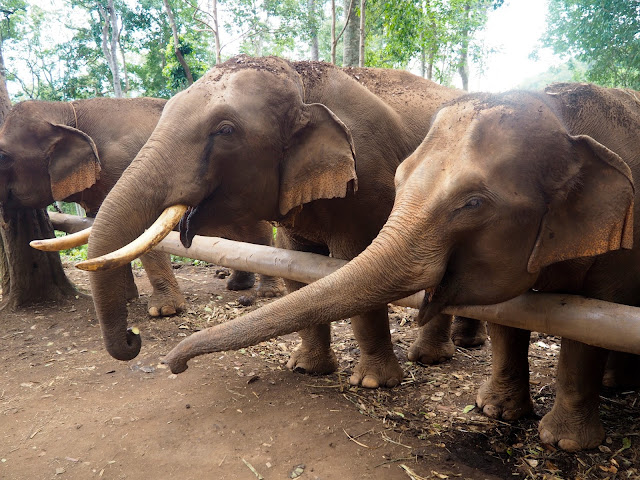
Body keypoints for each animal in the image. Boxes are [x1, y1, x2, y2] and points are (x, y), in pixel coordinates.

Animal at [0, 97, 282, 316]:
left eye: (2, 156)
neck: (68, 110)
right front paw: (125, 298)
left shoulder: (124, 161)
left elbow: (140, 232)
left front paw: (164, 311)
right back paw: (237, 285)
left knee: (257, 232)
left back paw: (268, 292)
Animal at [75, 54, 480, 384]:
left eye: (225, 130)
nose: (135, 338)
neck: (300, 78)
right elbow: (295, 267)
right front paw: (305, 368)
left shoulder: (368, 179)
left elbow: (353, 265)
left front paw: (372, 383)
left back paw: (432, 357)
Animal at [162, 80, 640, 452]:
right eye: (399, 178)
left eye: (473, 203)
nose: (173, 365)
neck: (564, 118)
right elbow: (510, 312)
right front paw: (496, 411)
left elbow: (590, 323)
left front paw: (564, 443)